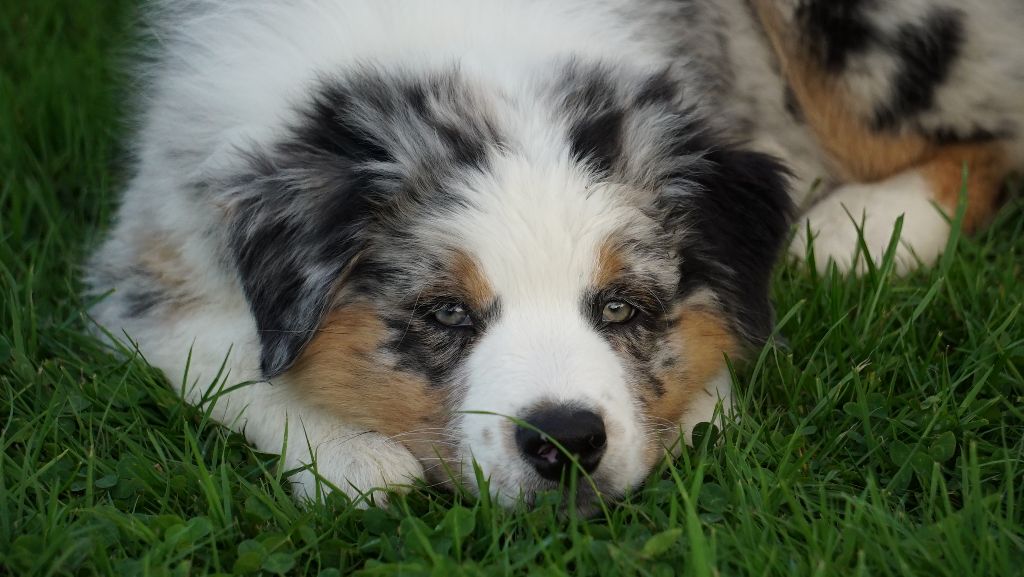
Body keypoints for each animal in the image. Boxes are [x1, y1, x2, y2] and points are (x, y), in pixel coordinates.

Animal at [87, 0, 1023, 510]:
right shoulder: (149, 261)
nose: (567, 441)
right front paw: (354, 454)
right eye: (446, 313)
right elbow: (231, 356)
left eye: (620, 306)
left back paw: (851, 228)